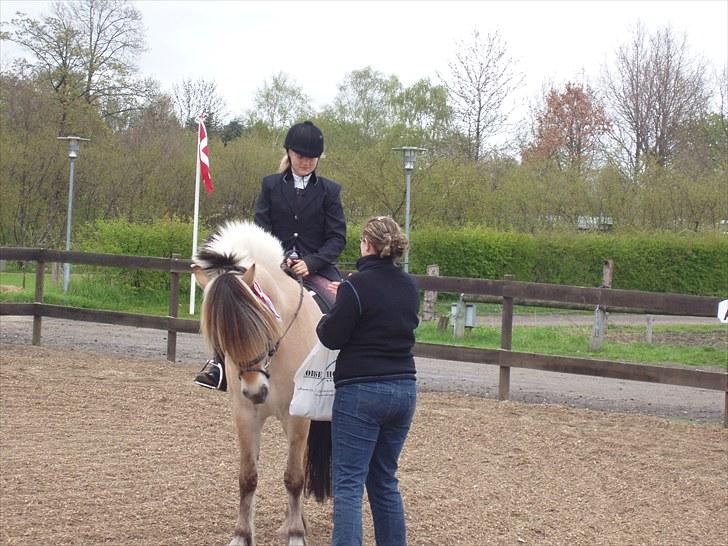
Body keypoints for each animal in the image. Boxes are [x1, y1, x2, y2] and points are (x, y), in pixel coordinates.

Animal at [193, 220, 330, 544]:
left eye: (260, 326)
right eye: (220, 335)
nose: (256, 391)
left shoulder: (297, 417)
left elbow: (294, 477)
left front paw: (295, 535)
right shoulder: (245, 414)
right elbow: (248, 477)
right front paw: (242, 535)